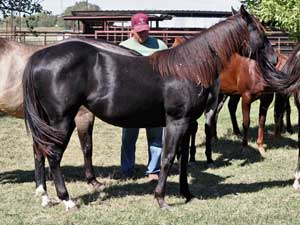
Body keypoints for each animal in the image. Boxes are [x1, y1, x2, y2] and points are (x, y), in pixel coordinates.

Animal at [23, 7, 278, 211]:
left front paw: (187, 194)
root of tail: (40, 56)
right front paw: (161, 199)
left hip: (47, 121)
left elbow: (183, 160)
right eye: (260, 31)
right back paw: (67, 200)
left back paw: (45, 197)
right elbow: (167, 157)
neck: (189, 68)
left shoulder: (188, 124)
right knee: (53, 155)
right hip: (61, 120)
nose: (275, 59)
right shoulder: (176, 122)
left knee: (39, 150)